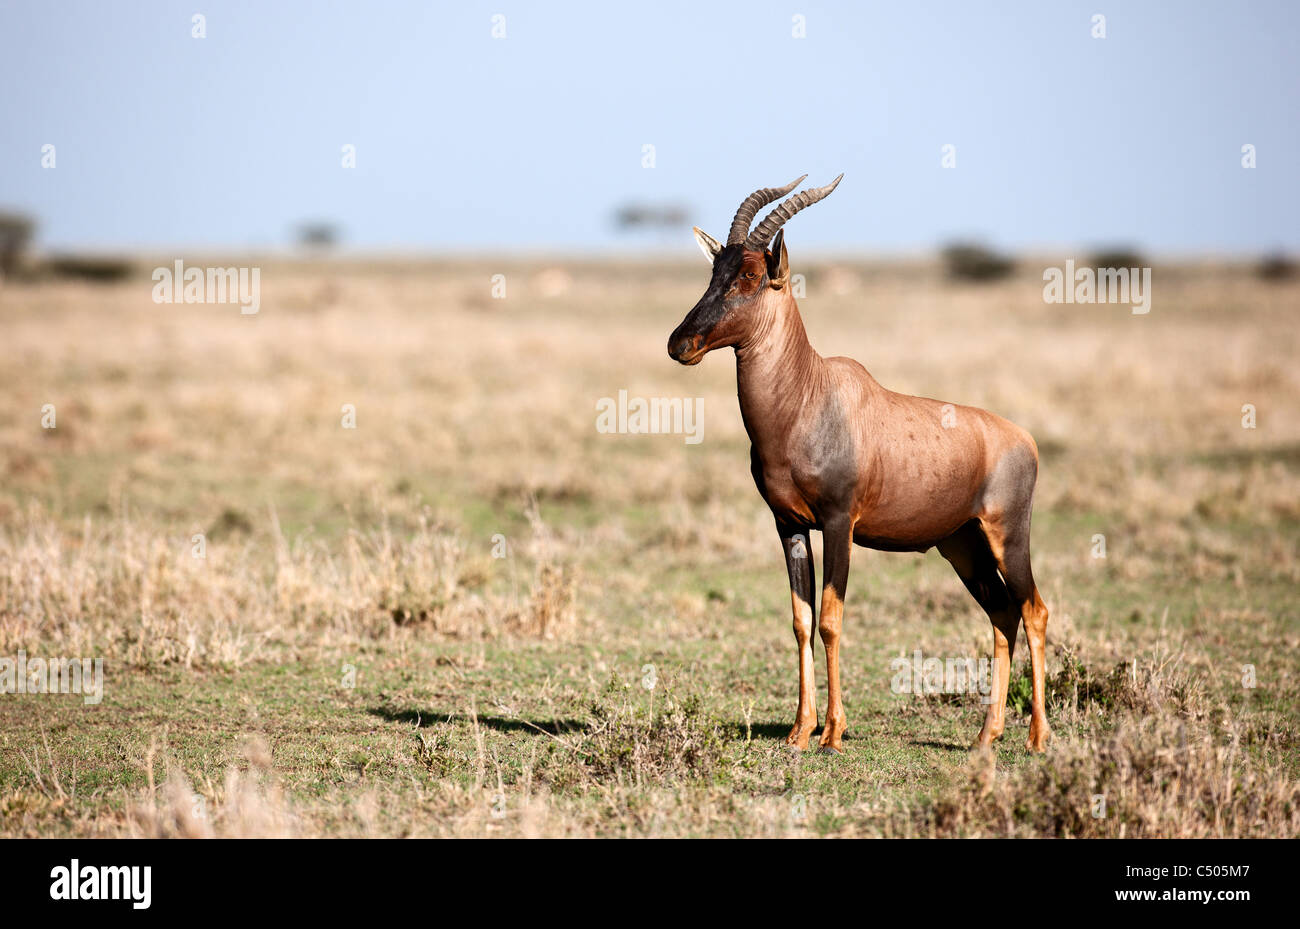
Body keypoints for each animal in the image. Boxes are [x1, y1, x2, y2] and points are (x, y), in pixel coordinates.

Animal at [665, 176, 1050, 753]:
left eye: (752, 275)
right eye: (714, 271)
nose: (680, 343)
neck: (810, 393)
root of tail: (1023, 440)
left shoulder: (839, 522)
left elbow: (831, 618)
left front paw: (832, 733)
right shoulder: (788, 524)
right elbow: (801, 620)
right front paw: (800, 731)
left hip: (1008, 536)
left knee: (1033, 611)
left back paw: (1037, 737)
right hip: (962, 546)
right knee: (1003, 614)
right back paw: (987, 734)